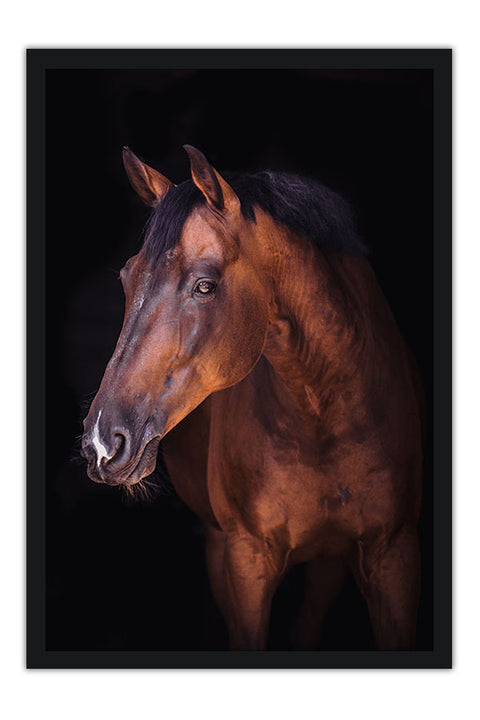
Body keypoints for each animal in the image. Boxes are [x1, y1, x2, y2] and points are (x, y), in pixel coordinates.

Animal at [81, 145, 423, 651]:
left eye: (205, 285)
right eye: (127, 277)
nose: (103, 443)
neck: (326, 413)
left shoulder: (393, 556)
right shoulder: (246, 560)